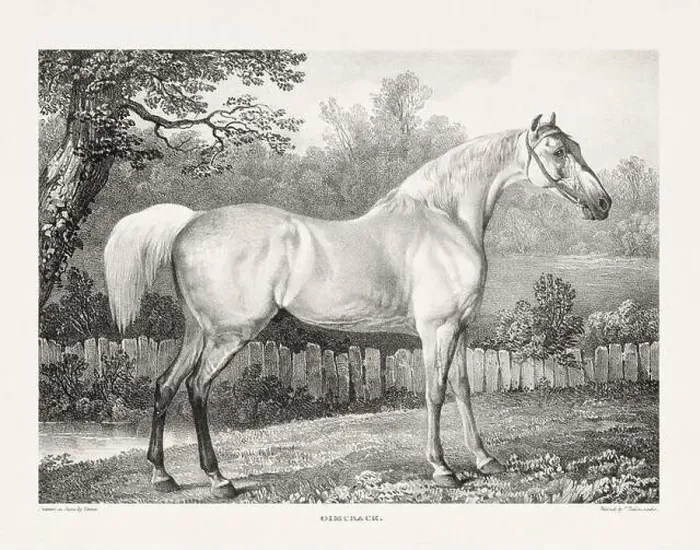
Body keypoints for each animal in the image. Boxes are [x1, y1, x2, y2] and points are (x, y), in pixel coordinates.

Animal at [104, 113, 611, 498]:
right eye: (557, 151)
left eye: (577, 146)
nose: (604, 203)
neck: (444, 220)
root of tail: (189, 222)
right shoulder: (438, 328)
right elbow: (435, 393)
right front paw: (443, 469)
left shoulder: (460, 328)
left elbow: (464, 390)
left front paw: (486, 460)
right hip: (230, 334)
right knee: (197, 388)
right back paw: (218, 479)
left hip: (198, 331)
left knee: (165, 385)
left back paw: (163, 476)